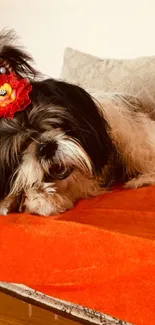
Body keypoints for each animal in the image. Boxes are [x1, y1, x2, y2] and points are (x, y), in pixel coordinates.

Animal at [0, 28, 155, 215]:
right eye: (21, 143)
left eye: (56, 123)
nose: (45, 147)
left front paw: (41, 199)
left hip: (129, 136)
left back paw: (141, 179)